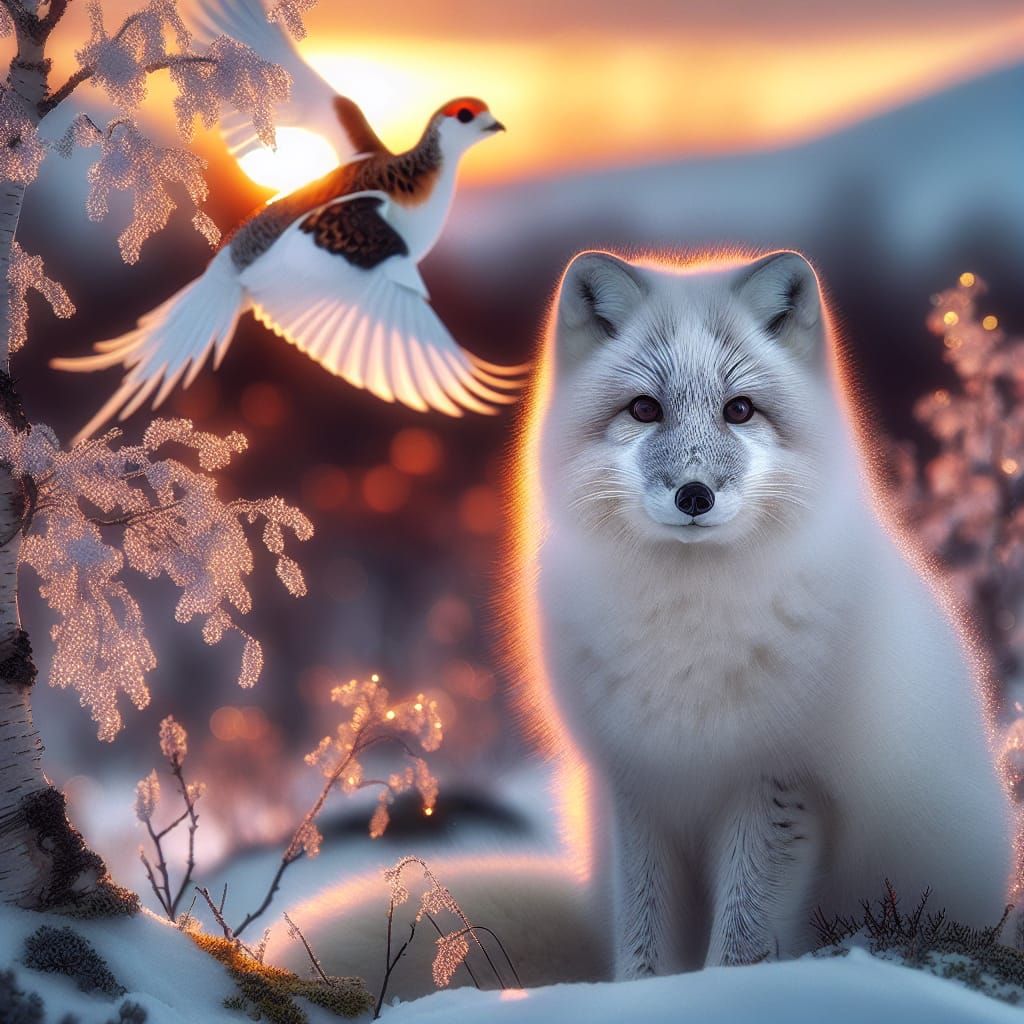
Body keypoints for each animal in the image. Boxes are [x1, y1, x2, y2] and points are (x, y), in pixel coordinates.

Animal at [268, 250, 1015, 996]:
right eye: (645, 409)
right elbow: (644, 931)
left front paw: (722, 993)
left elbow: (742, 939)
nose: (694, 494)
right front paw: (640, 994)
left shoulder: (776, 779)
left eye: (739, 410)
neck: (683, 627)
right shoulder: (636, 780)